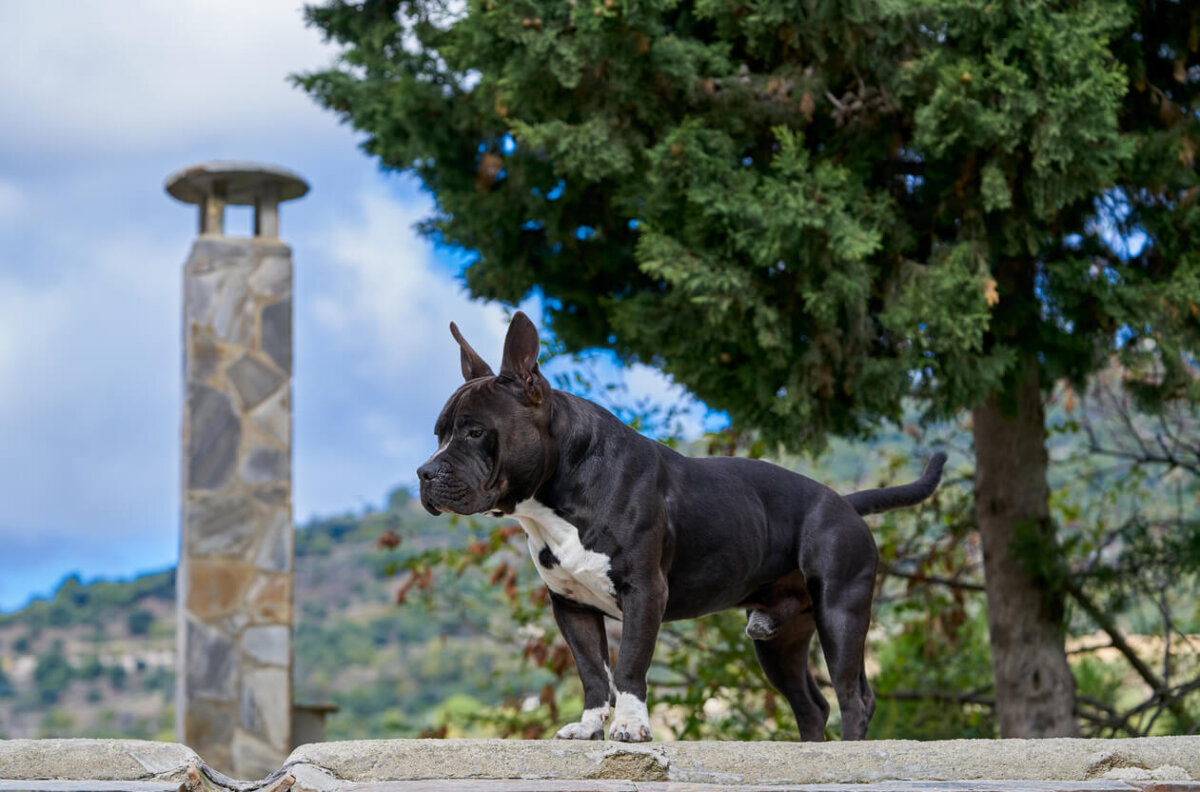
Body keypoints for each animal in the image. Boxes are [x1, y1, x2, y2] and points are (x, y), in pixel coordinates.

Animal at [422, 312, 945, 744]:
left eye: (474, 432)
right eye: (439, 434)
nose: (424, 473)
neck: (561, 490)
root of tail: (844, 503)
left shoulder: (644, 592)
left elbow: (629, 666)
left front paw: (632, 728)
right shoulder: (571, 606)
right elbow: (593, 672)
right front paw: (589, 727)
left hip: (841, 612)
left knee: (854, 696)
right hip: (779, 639)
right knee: (811, 704)